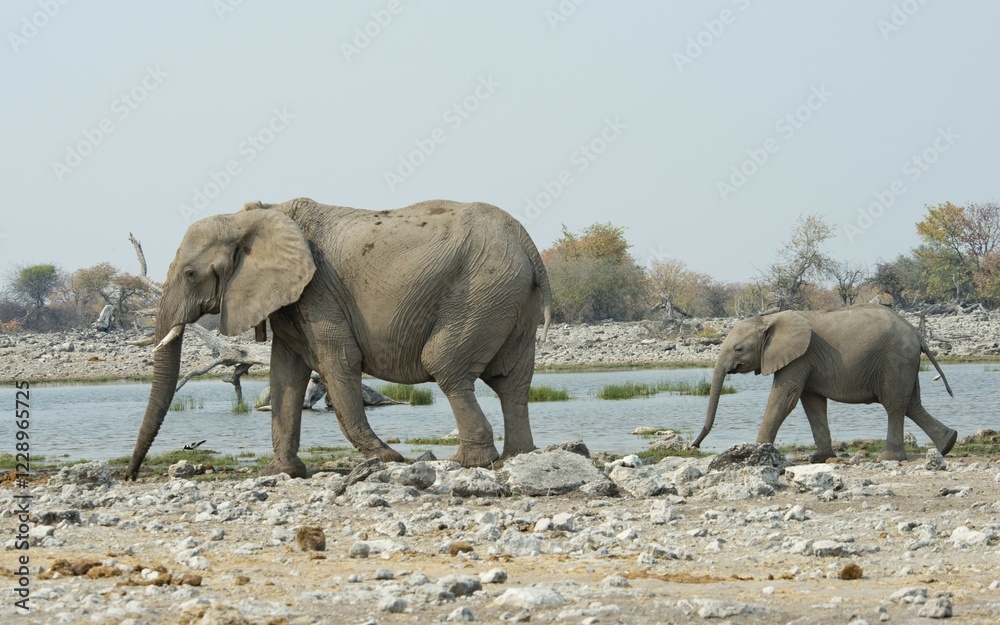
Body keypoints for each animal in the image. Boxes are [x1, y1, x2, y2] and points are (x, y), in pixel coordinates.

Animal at [124, 197, 551, 480]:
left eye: (191, 274)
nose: (130, 475)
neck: (254, 214)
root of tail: (530, 247)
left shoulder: (318, 289)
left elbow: (339, 361)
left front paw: (390, 460)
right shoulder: (292, 298)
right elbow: (285, 374)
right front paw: (284, 472)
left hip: (482, 290)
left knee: (445, 364)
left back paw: (469, 463)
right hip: (509, 299)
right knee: (511, 380)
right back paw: (516, 458)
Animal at [693, 305, 957, 462]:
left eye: (738, 349)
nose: (694, 446)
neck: (769, 318)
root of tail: (917, 333)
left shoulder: (800, 357)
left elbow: (785, 398)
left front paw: (758, 451)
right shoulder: (807, 361)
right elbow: (811, 403)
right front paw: (819, 458)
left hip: (895, 360)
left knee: (894, 404)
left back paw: (889, 457)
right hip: (905, 363)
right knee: (912, 404)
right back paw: (948, 444)